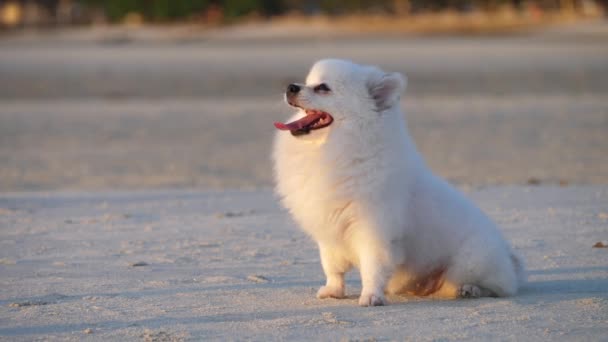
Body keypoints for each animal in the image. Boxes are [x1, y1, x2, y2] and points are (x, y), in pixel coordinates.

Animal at [274, 59, 524, 308]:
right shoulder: (329, 234)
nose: (291, 87)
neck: (339, 147)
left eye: (323, 88)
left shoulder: (374, 231)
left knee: (497, 287)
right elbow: (333, 268)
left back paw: (470, 289)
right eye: (308, 82)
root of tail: (508, 256)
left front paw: (371, 296)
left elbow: (373, 268)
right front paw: (333, 290)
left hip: (471, 261)